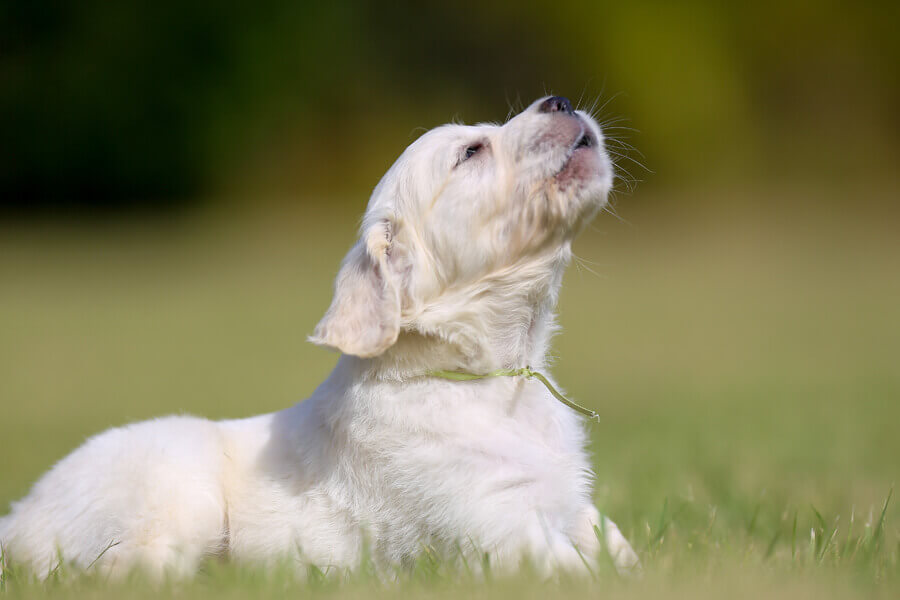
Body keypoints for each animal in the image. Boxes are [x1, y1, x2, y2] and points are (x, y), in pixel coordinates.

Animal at [3, 96, 644, 580]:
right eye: (470, 152)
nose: (558, 100)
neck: (493, 379)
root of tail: (17, 518)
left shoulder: (567, 504)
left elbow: (611, 540)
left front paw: (631, 561)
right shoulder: (492, 528)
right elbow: (570, 568)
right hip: (177, 496)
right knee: (121, 572)